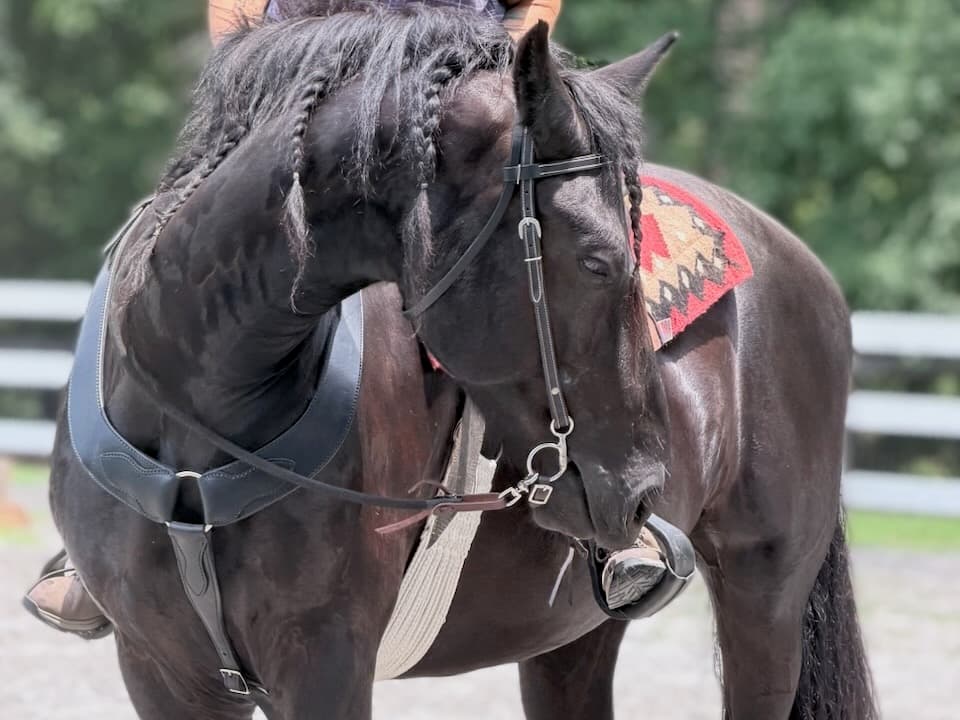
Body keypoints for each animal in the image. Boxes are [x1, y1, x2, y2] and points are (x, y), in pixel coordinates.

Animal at [49, 4, 877, 719]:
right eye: (600, 260)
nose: (645, 487)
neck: (197, 419)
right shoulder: (161, 670)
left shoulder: (324, 663)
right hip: (572, 635)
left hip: (764, 596)